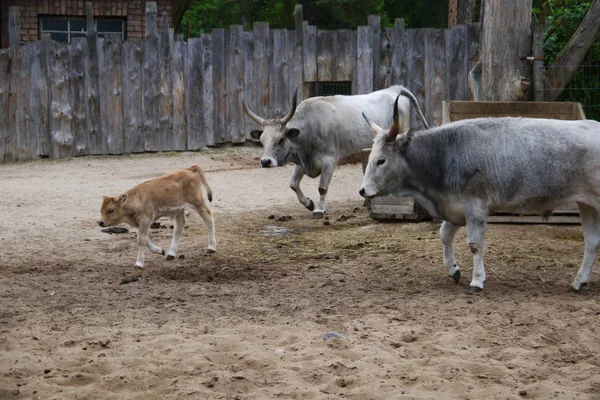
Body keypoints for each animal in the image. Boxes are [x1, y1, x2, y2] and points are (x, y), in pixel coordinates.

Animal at [241, 84, 428, 219]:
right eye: (262, 140)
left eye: (281, 139)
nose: (265, 161)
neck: (310, 126)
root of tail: (393, 89)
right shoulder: (302, 161)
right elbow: (293, 184)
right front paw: (308, 203)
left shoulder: (329, 161)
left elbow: (322, 188)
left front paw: (319, 209)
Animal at [358, 95, 600, 292]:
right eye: (370, 158)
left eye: (381, 160)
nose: (362, 190)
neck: (444, 153)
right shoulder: (454, 206)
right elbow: (444, 235)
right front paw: (453, 270)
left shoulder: (475, 206)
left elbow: (475, 244)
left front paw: (477, 281)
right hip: (586, 204)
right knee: (592, 241)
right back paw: (578, 282)